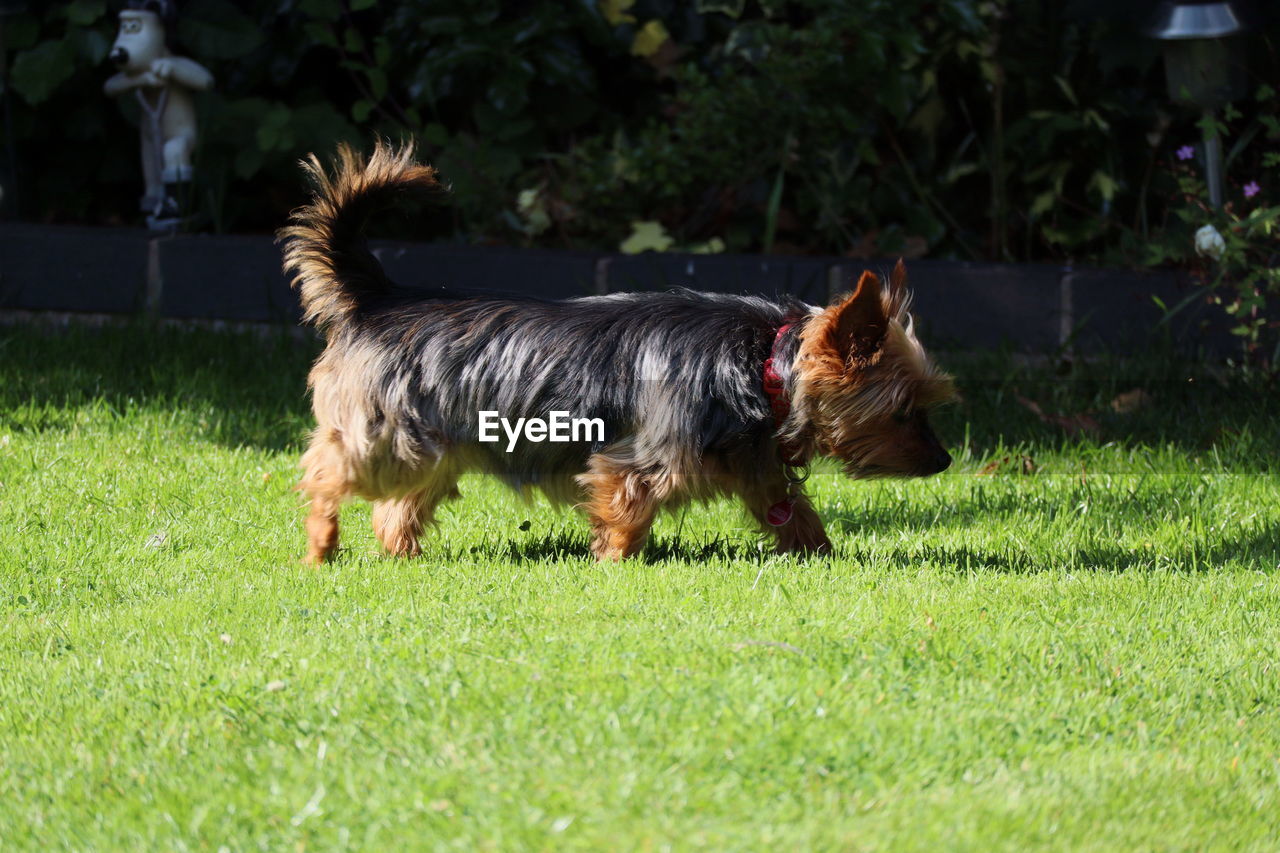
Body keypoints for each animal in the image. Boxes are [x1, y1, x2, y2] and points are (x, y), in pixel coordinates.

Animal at [282, 142, 962, 560]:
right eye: (903, 412)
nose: (945, 460)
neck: (764, 363)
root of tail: (379, 299)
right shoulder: (638, 462)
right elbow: (626, 514)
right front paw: (614, 566)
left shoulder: (758, 466)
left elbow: (794, 512)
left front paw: (823, 559)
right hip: (388, 433)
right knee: (325, 468)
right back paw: (319, 543)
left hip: (434, 446)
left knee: (396, 505)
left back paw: (401, 553)